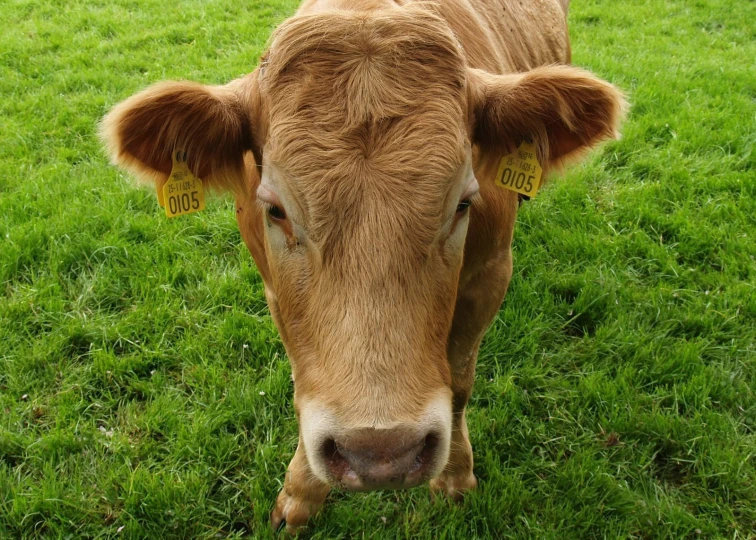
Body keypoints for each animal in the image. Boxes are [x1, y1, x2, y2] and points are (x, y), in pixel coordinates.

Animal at [100, 0, 628, 532]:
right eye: (276, 210)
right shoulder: (275, 291)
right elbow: (303, 379)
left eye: (463, 203)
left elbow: (459, 382)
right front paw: (300, 492)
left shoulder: (490, 274)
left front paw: (455, 478)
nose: (381, 453)